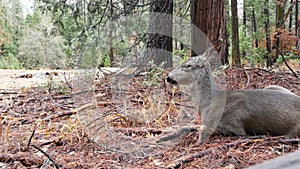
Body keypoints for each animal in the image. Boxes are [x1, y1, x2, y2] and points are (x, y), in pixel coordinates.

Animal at [166, 45, 300, 145]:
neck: (206, 105)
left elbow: (202, 129)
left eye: (188, 65)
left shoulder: (233, 125)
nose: (168, 77)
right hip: (273, 86)